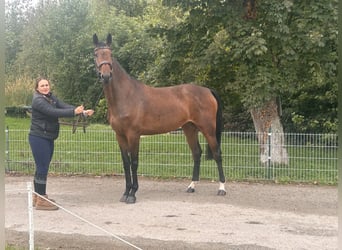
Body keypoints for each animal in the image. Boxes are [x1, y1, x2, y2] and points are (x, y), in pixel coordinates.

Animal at [93, 33, 227, 203]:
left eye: (110, 54)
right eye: (95, 54)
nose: (105, 76)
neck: (126, 96)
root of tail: (208, 90)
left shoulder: (133, 135)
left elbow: (134, 162)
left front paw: (133, 194)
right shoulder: (120, 135)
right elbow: (125, 163)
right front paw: (125, 192)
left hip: (208, 129)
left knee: (217, 154)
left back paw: (222, 188)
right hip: (189, 128)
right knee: (196, 153)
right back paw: (191, 186)